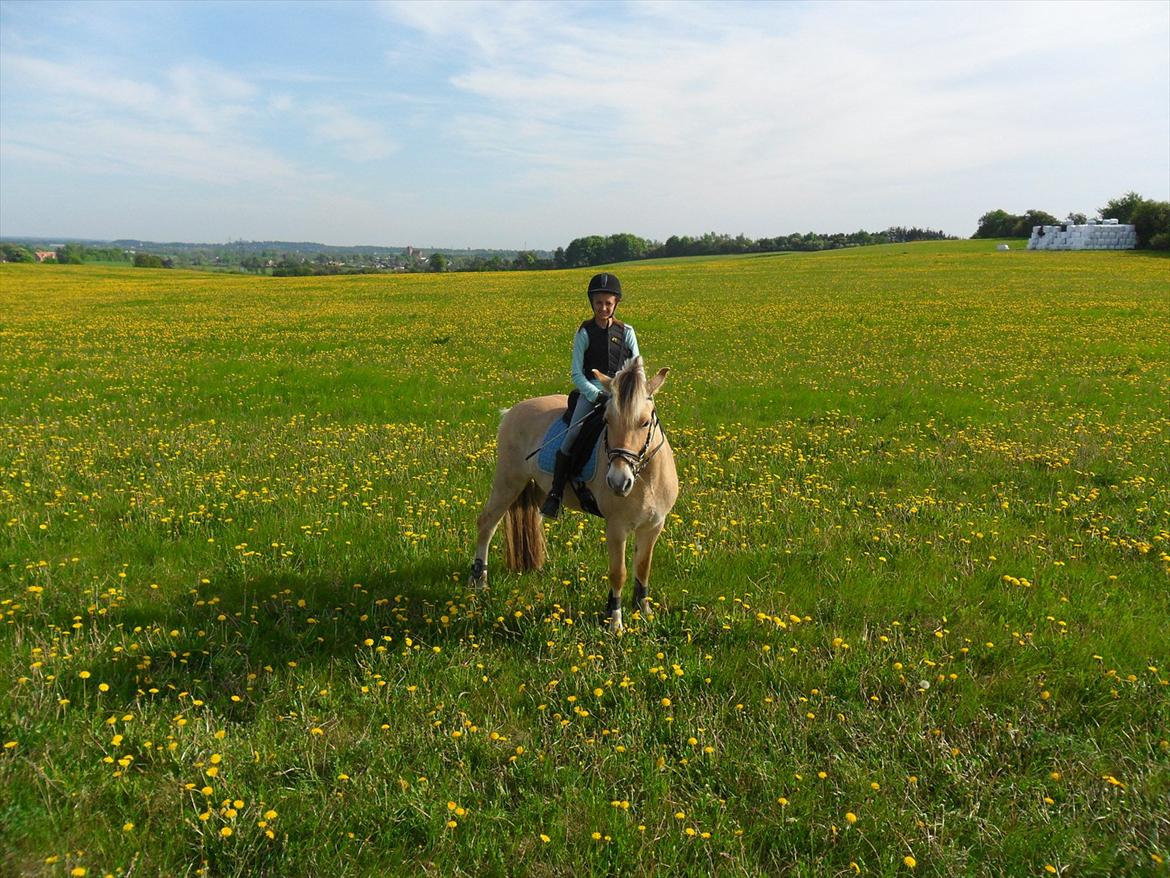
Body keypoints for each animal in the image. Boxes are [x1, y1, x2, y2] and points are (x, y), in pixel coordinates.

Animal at [470, 358, 683, 632]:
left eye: (645, 422)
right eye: (607, 420)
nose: (618, 481)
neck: (646, 480)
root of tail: (512, 411)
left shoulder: (654, 525)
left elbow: (643, 568)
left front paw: (643, 611)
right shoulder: (616, 527)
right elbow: (618, 572)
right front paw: (615, 622)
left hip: (539, 489)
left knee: (533, 518)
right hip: (508, 481)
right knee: (487, 524)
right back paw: (479, 581)